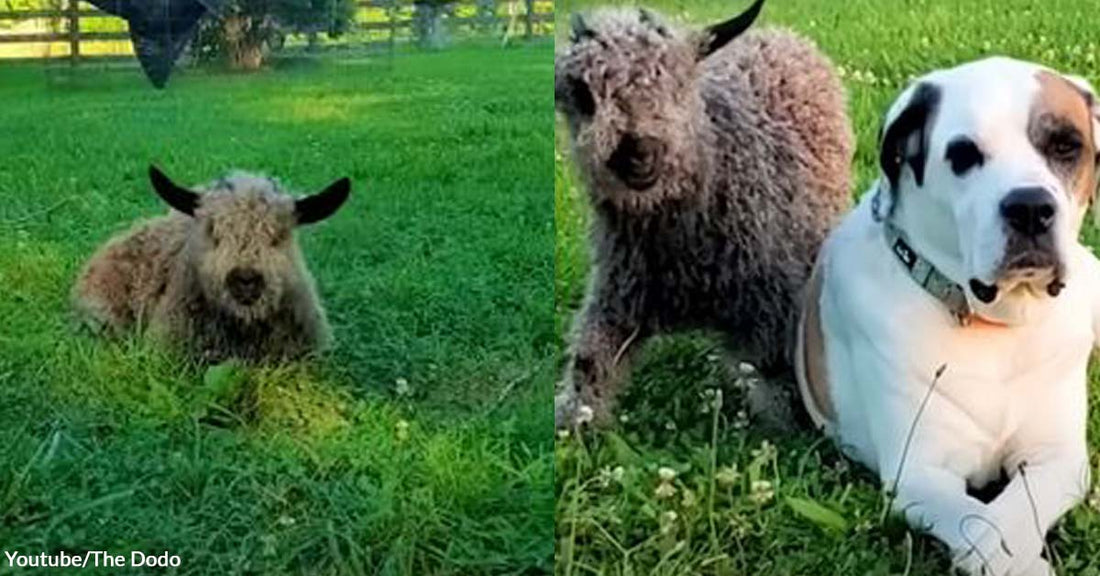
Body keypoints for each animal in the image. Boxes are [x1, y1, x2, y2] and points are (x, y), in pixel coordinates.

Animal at [554, 0, 853, 426]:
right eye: (583, 93)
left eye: (678, 82)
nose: (639, 152)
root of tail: (782, 35)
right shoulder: (618, 295)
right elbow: (588, 366)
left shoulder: (772, 306)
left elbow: (784, 387)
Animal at [796, 55, 1100, 576]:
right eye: (963, 156)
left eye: (1065, 145)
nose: (1030, 207)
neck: (998, 329)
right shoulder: (920, 473)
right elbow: (979, 524)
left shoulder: (1058, 458)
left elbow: (1015, 508)